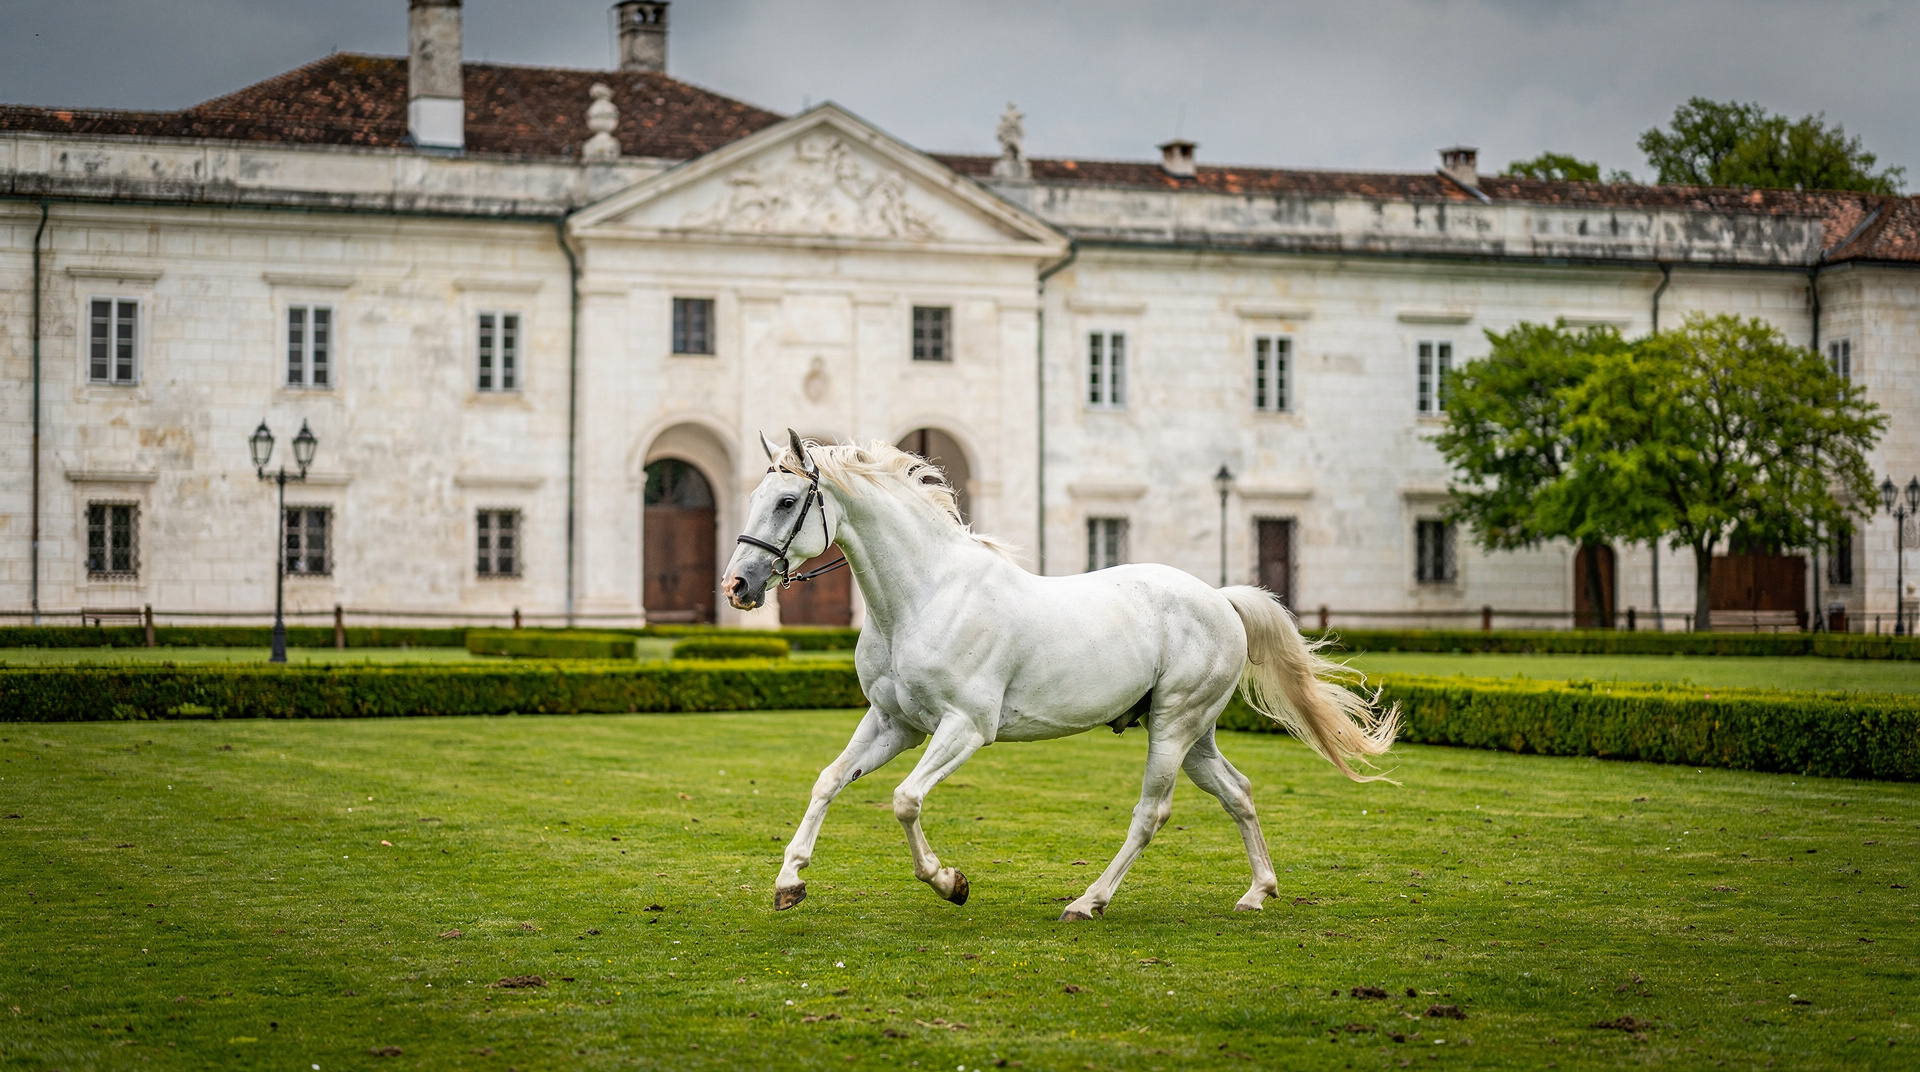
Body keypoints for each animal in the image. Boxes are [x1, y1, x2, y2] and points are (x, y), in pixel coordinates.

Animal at [722, 431, 1398, 920]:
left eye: (787, 502)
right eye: (755, 498)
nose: (738, 587)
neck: (926, 595)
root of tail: (1220, 599)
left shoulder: (964, 728)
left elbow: (906, 800)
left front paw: (949, 882)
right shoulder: (894, 724)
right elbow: (829, 781)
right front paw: (789, 882)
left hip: (1173, 728)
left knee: (1151, 813)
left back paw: (1088, 902)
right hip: (1195, 735)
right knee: (1238, 791)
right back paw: (1258, 892)